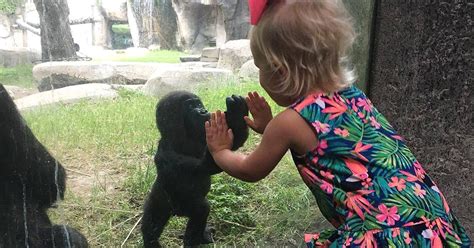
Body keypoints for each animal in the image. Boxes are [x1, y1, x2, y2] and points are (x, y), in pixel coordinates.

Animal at [142, 90, 248, 246]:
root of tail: (176, 213)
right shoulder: (167, 153)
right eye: (191, 106)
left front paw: (237, 113)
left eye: (198, 104)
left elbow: (230, 146)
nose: (203, 111)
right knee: (153, 225)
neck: (182, 137)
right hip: (161, 199)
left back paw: (202, 236)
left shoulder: (203, 133)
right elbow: (207, 166)